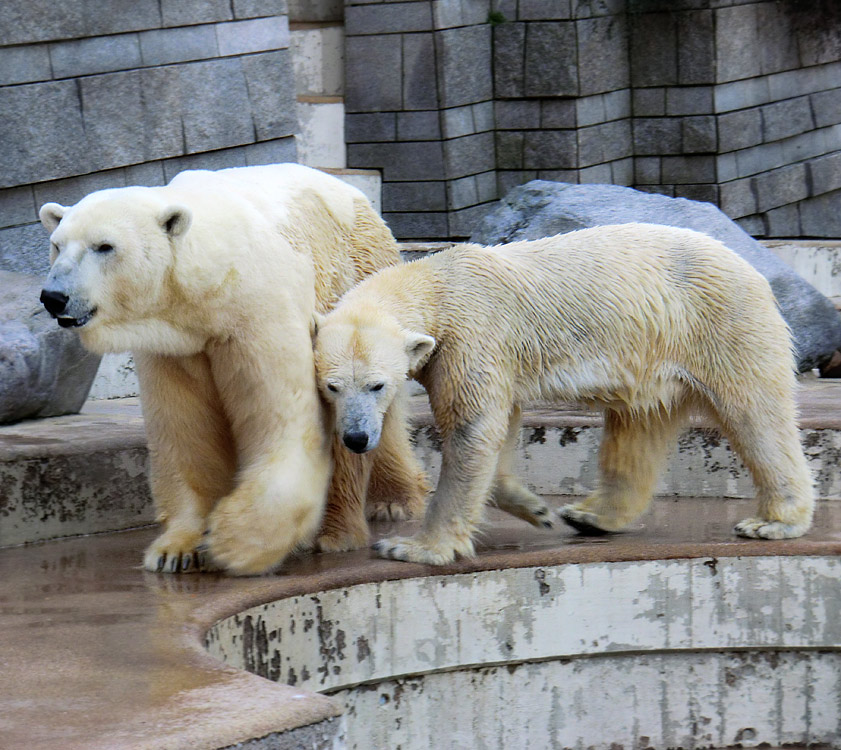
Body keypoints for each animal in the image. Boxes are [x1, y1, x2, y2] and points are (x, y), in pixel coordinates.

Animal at [39, 164, 426, 576]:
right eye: (57, 245)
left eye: (104, 246)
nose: (54, 297)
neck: (210, 286)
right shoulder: (175, 348)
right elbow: (184, 429)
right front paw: (175, 549)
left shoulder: (257, 315)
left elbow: (284, 421)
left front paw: (233, 541)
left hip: (357, 282)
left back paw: (367, 516)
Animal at [312, 226, 812, 568]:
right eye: (331, 387)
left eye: (378, 385)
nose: (356, 438)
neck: (439, 280)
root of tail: (751, 267)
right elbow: (498, 427)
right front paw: (535, 509)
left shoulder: (471, 336)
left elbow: (472, 427)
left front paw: (414, 546)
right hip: (656, 355)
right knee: (638, 429)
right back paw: (589, 515)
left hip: (722, 322)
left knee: (755, 413)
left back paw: (774, 521)